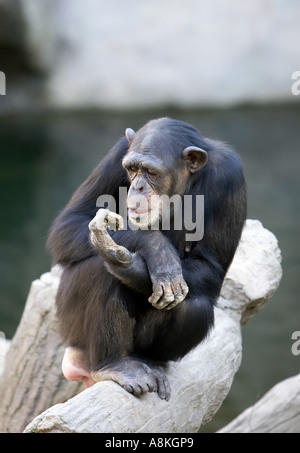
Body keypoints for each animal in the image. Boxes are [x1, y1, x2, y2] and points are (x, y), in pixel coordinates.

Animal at [47, 116, 246, 400]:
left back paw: (150, 361)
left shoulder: (232, 177)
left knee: (195, 307)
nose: (138, 186)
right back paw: (115, 365)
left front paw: (135, 268)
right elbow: (71, 222)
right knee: (101, 270)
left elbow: (211, 266)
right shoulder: (118, 153)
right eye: (132, 169)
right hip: (69, 326)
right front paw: (154, 248)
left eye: (151, 172)